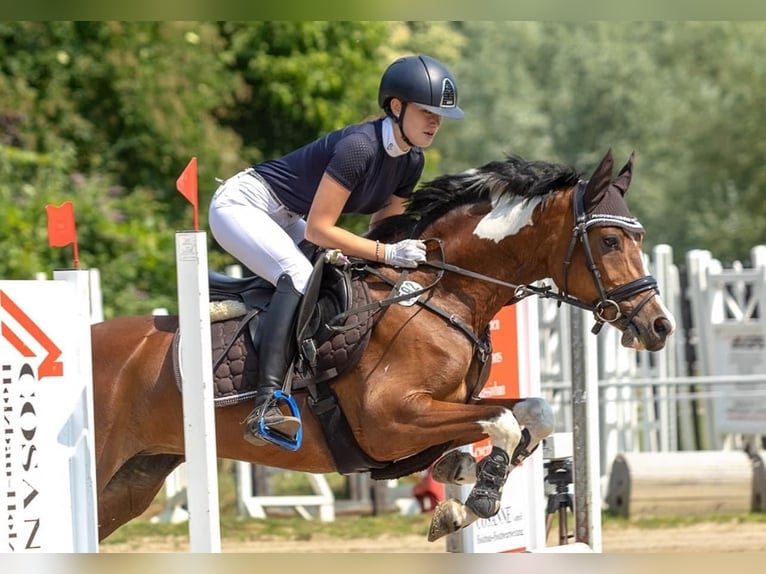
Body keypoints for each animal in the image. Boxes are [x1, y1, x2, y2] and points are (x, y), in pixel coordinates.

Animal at [93, 147, 676, 544]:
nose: (659, 327)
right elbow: (504, 421)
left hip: (130, 484)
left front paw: (461, 490)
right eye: (609, 240)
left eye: (640, 238)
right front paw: (475, 498)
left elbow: (530, 412)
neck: (442, 292)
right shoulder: (391, 419)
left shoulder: (444, 410)